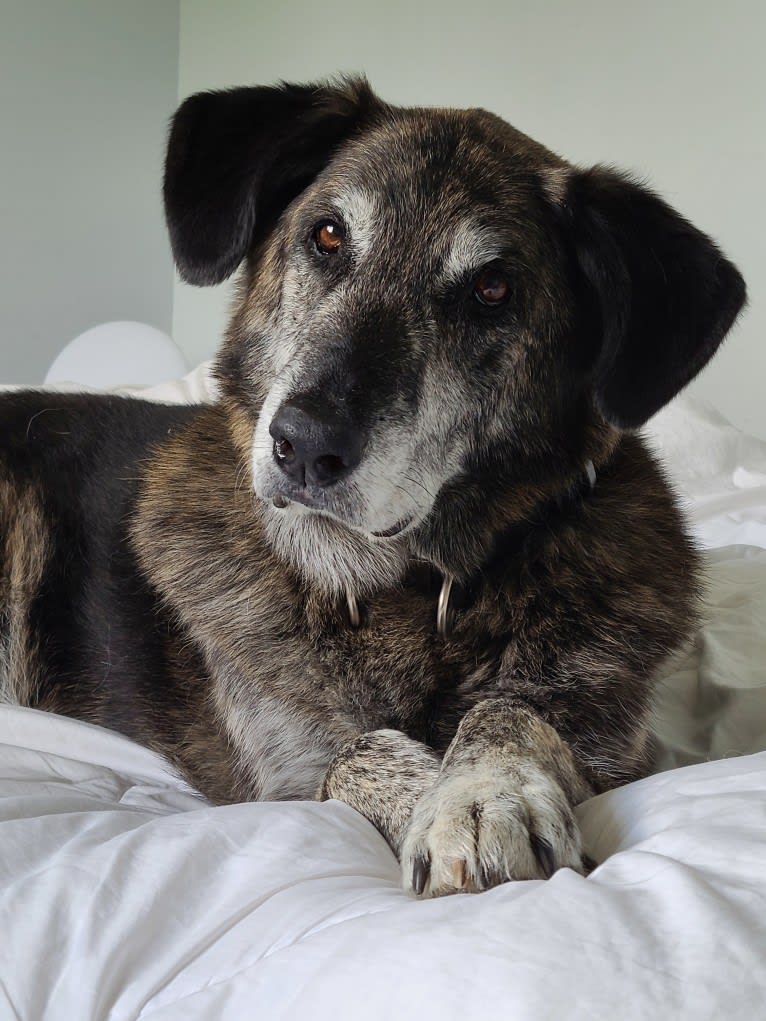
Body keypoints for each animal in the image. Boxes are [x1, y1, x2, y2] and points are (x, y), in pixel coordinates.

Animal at [0, 77, 743, 894]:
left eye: (492, 288)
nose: (303, 444)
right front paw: (441, 793)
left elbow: (512, 710)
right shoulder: (282, 772)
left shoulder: (625, 743)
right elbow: (358, 751)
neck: (413, 592)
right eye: (327, 236)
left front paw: (483, 790)